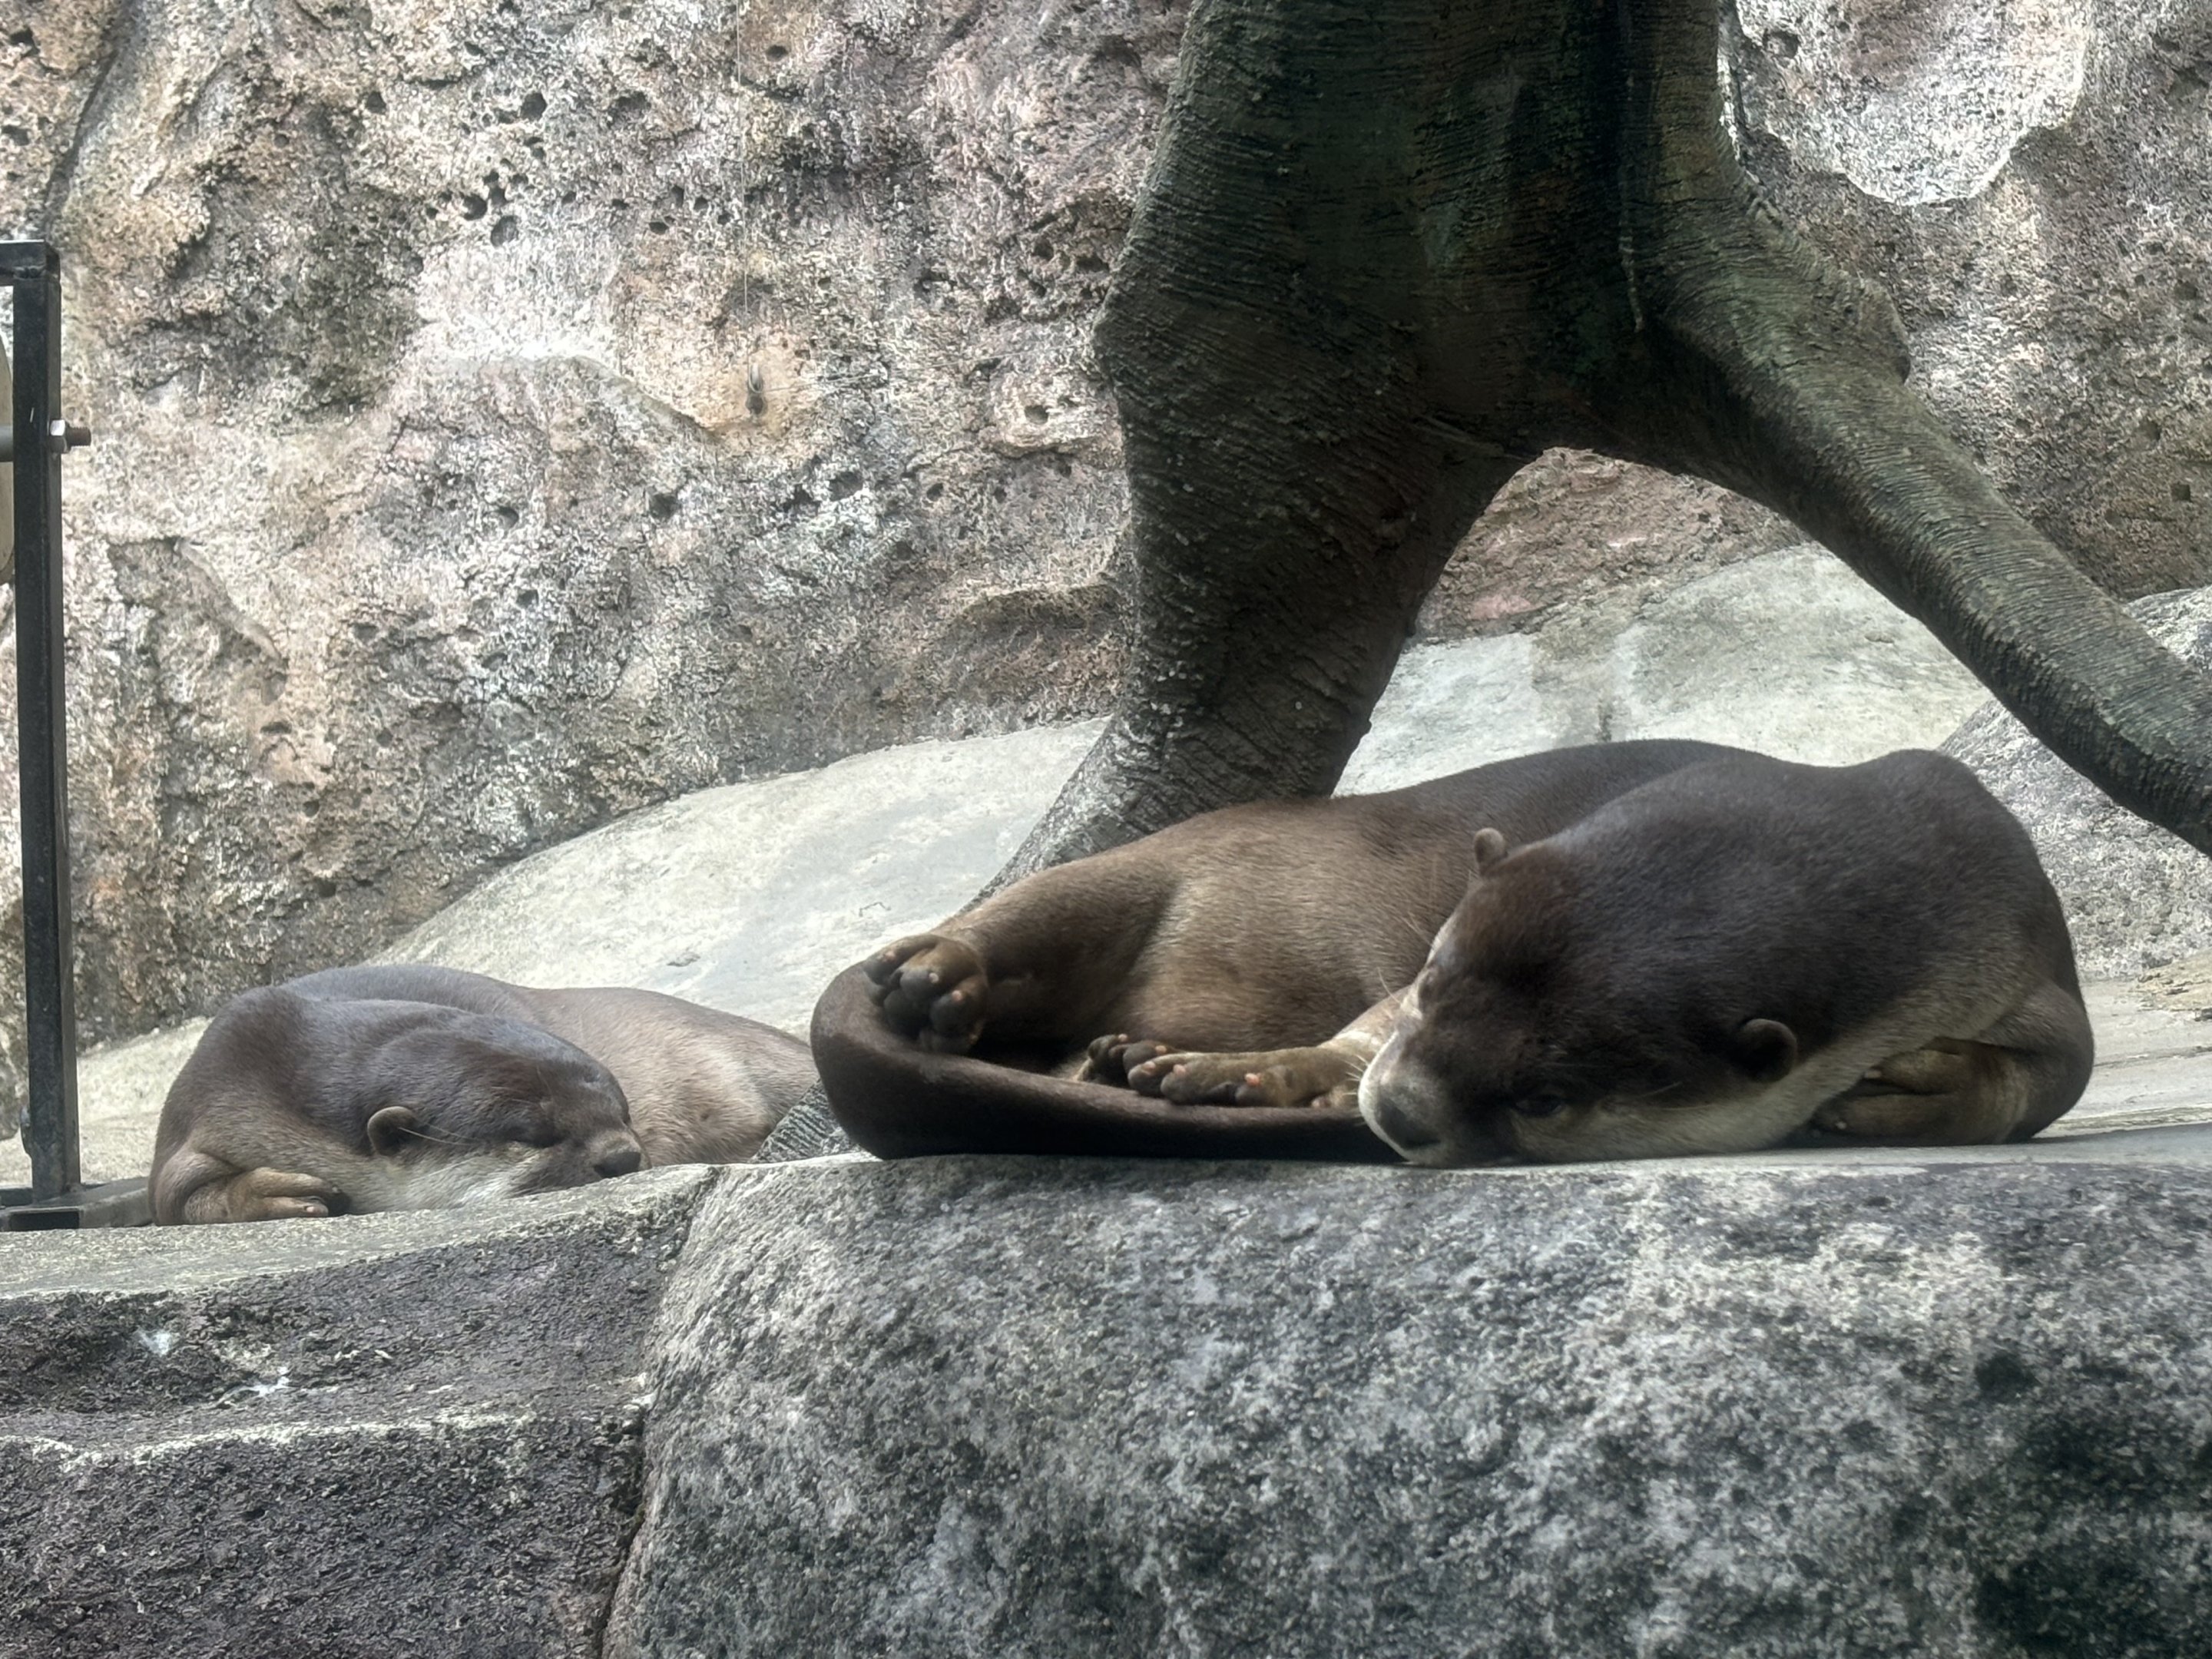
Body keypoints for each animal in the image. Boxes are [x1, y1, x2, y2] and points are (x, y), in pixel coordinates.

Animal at [151, 965, 817, 1224]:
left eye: (623, 1112)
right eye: (534, 1135)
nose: (624, 1157)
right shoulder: (209, 1098)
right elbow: (177, 1200)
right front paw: (274, 1196)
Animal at [815, 742, 2090, 1165]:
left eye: (1547, 1096)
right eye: (1430, 979)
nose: (1404, 1114)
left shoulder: (2022, 938)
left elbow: (2052, 1075)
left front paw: (1917, 1089)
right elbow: (1360, 1030)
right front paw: (1265, 1075)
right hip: (1149, 859)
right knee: (1035, 913)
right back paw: (937, 978)